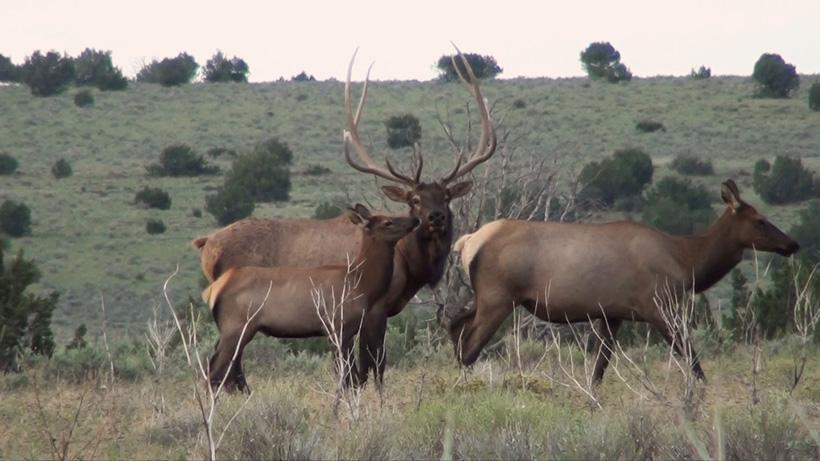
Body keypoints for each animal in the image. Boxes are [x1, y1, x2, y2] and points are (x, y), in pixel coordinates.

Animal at [202, 205, 419, 392]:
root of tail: (213, 290)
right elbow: (347, 375)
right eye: (388, 222)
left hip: (234, 329)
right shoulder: (337, 327)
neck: (363, 284)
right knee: (214, 369)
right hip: (236, 327)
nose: (415, 219)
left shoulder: (349, 330)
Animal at [450, 179, 799, 383]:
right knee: (469, 345)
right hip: (498, 297)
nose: (792, 244)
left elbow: (599, 369)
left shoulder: (612, 314)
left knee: (455, 325)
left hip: (485, 298)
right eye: (760, 220)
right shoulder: (657, 306)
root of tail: (467, 242)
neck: (687, 262)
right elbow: (692, 358)